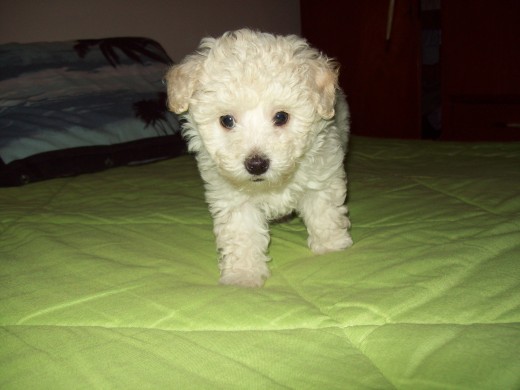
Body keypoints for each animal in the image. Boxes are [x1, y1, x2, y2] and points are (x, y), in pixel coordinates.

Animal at [166, 28, 354, 286]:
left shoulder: (322, 174)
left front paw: (332, 247)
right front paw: (243, 275)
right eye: (227, 120)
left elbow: (324, 211)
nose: (256, 164)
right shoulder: (234, 199)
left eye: (282, 117)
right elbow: (242, 234)